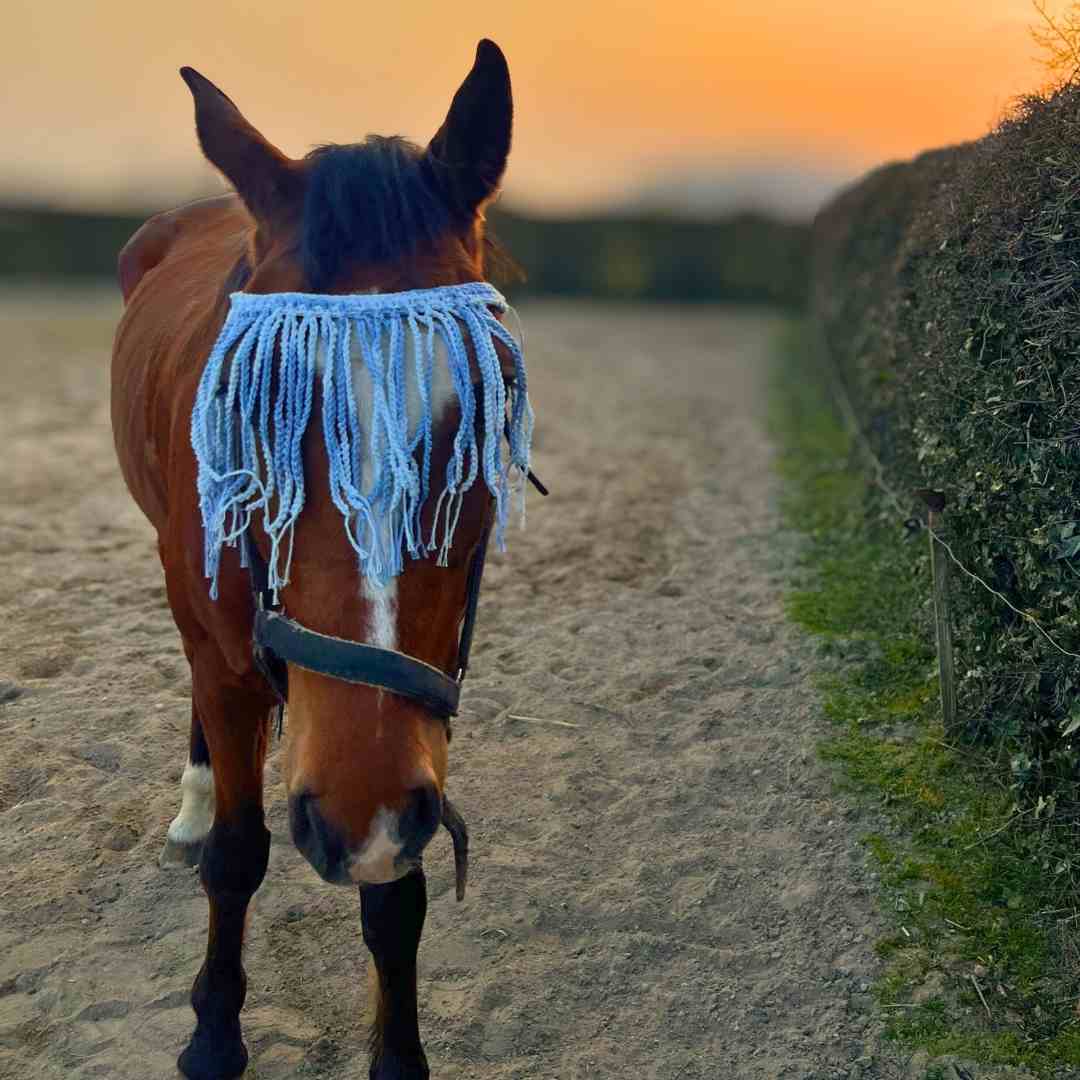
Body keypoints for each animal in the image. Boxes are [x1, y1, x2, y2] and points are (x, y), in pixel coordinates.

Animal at [110, 40, 528, 1080]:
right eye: (249, 402)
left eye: (492, 395)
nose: (355, 818)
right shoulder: (227, 657)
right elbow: (237, 856)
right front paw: (213, 1035)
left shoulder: (419, 706)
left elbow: (397, 898)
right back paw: (192, 806)